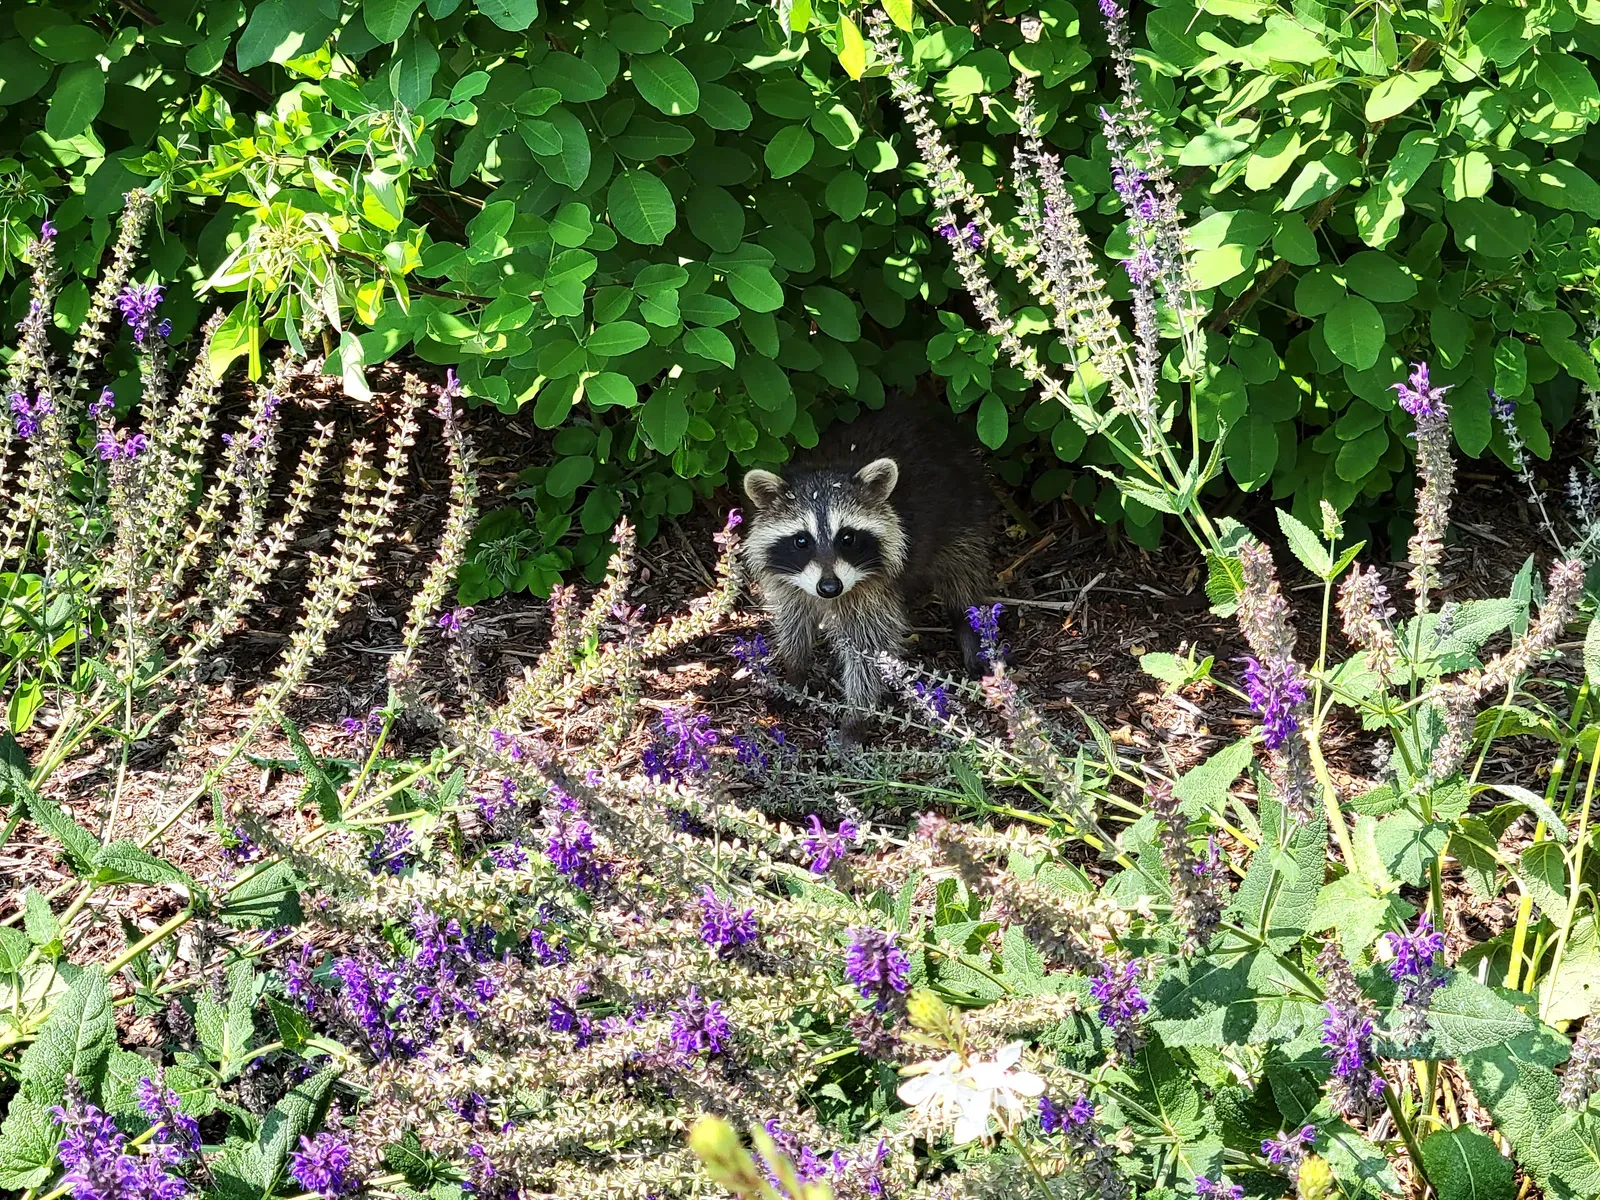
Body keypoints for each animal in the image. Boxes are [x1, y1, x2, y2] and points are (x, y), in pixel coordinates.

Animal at [741, 394, 998, 730]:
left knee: (963, 575)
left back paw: (968, 627)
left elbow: (869, 647)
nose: (829, 588)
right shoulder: (790, 583)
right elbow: (793, 622)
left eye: (847, 538)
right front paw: (794, 671)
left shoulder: (873, 590)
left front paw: (857, 714)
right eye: (802, 541)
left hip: (964, 510)